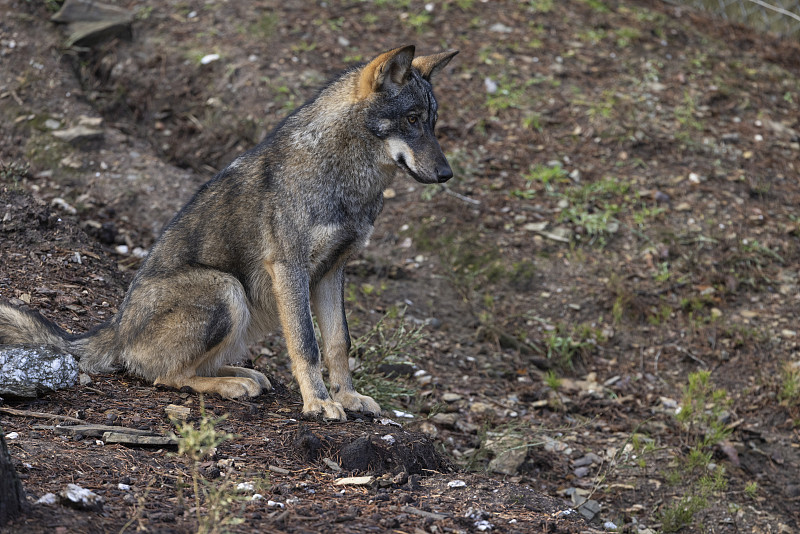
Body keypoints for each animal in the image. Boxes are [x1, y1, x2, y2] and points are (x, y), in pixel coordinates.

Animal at [0, 46, 456, 422]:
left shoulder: (331, 273)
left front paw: (346, 397)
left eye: (433, 123)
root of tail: (116, 328)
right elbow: (306, 345)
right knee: (165, 376)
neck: (346, 177)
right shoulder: (289, 267)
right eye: (412, 120)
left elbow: (338, 343)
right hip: (227, 289)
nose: (446, 174)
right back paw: (232, 384)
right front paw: (318, 403)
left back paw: (247, 375)